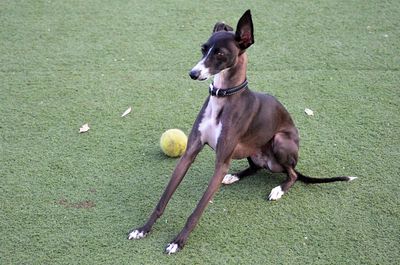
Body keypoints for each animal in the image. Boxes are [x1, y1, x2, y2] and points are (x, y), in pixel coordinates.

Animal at [126, 9, 354, 254]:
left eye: (220, 53)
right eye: (203, 48)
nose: (193, 73)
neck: (223, 96)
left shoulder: (221, 162)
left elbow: (197, 211)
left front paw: (178, 241)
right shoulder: (189, 153)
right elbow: (163, 199)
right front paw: (143, 229)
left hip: (280, 142)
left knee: (292, 174)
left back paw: (278, 190)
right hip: (250, 152)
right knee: (255, 167)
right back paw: (234, 176)